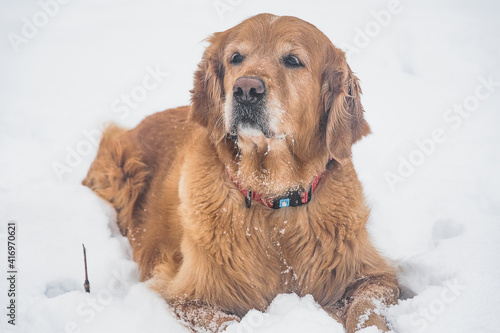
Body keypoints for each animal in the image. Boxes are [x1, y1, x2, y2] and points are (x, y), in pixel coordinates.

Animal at [84, 13, 400, 332]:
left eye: (293, 60)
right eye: (236, 57)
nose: (246, 89)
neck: (273, 200)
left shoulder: (373, 276)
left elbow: (365, 308)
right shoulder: (186, 296)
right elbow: (227, 322)